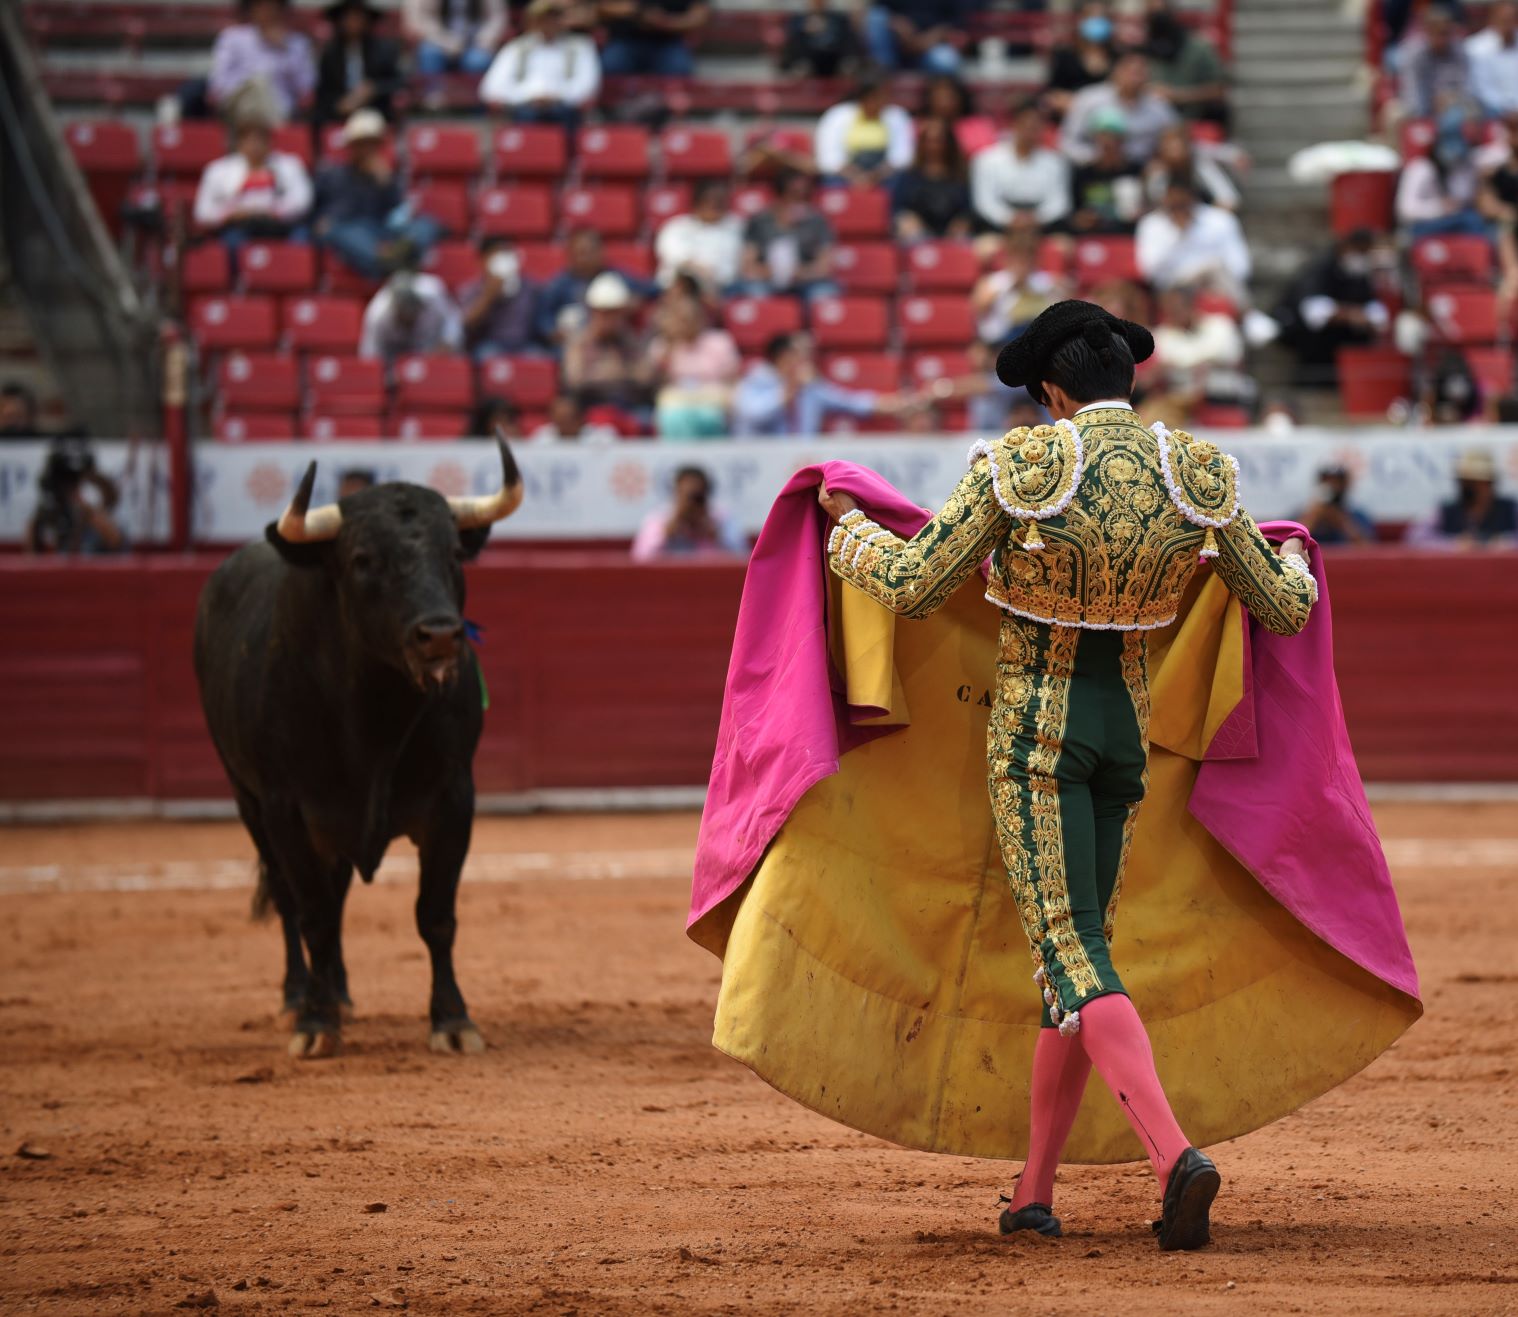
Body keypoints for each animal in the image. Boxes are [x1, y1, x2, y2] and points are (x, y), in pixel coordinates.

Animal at [193, 438, 523, 1058]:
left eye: (453, 553)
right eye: (364, 559)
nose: (441, 634)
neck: (375, 718)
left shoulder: (453, 799)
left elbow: (435, 914)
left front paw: (452, 1020)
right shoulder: (285, 808)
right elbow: (312, 914)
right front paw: (315, 1025)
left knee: (339, 891)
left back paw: (340, 992)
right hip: (246, 799)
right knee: (291, 900)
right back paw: (301, 995)